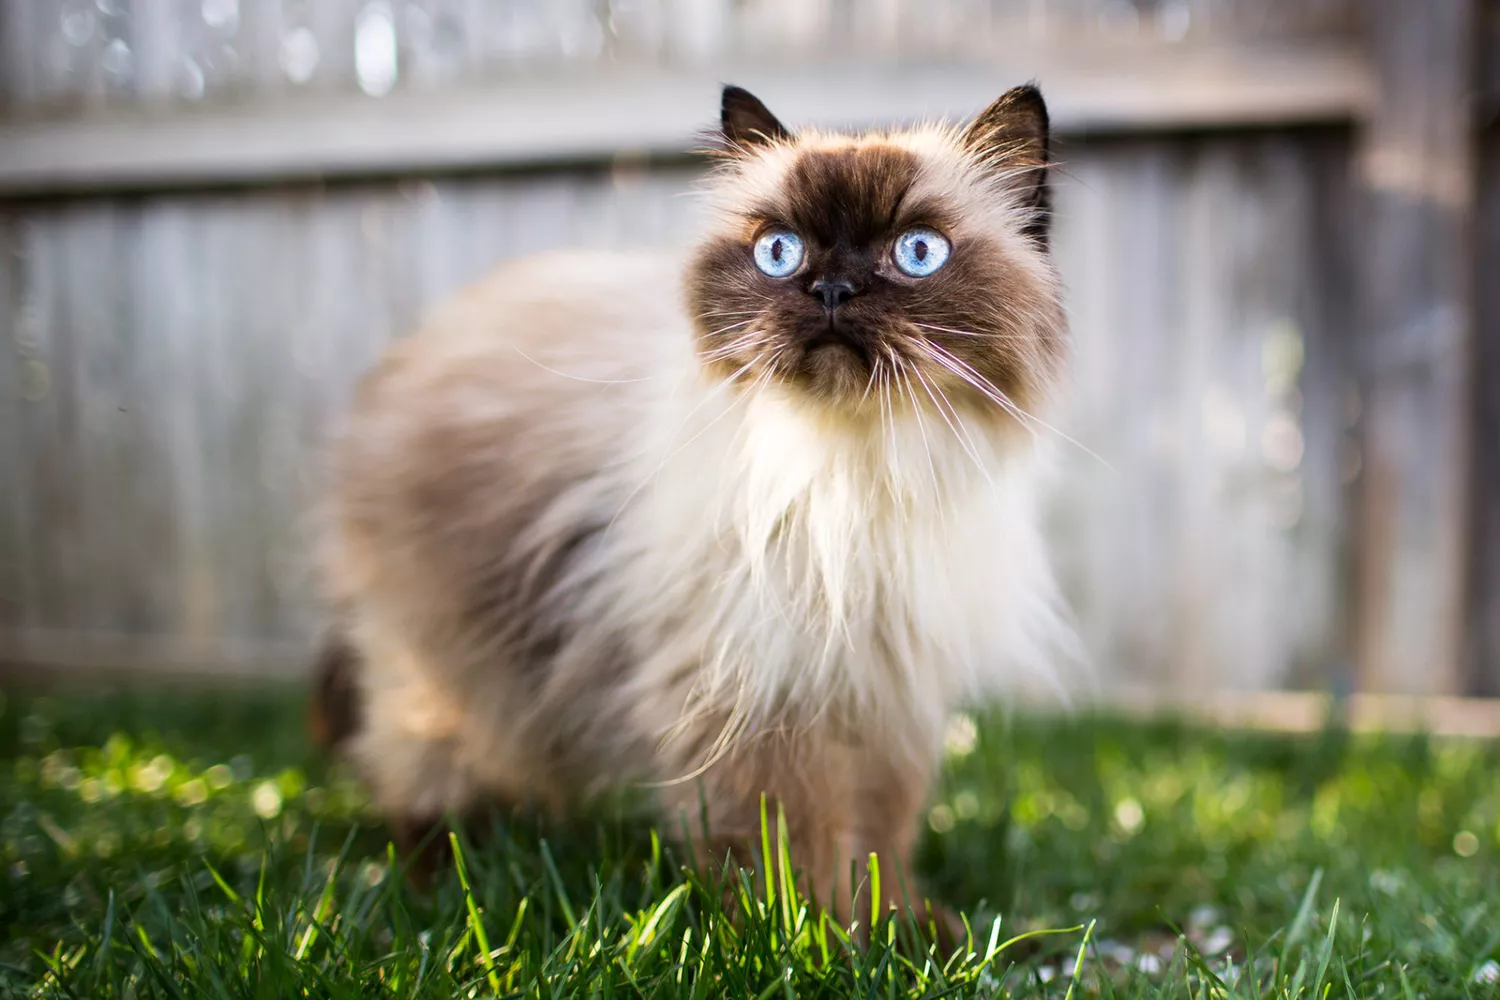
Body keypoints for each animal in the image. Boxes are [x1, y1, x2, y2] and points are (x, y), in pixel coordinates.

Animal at [310, 82, 1074, 941]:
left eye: (917, 252)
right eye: (779, 252)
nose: (831, 290)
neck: (854, 473)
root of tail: (409, 349)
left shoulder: (882, 687)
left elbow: (879, 834)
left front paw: (898, 930)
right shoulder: (764, 688)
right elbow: (792, 842)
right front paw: (815, 939)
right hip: (451, 666)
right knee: (424, 768)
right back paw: (444, 880)